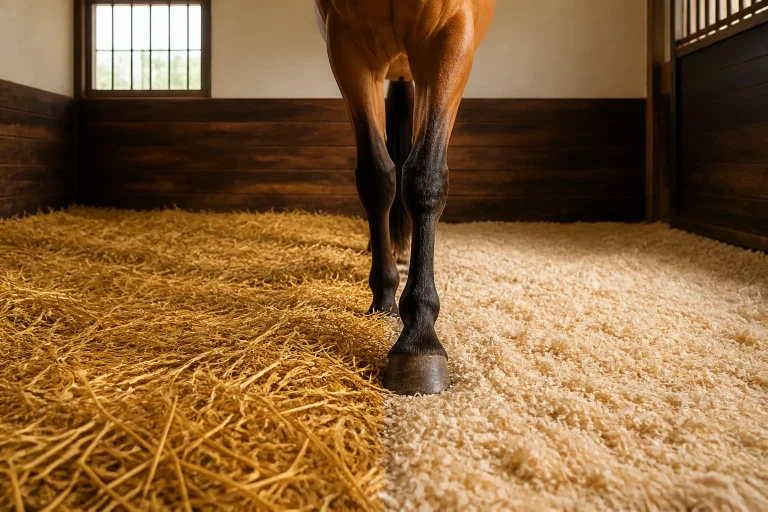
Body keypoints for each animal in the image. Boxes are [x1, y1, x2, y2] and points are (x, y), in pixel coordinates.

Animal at [315, 0, 495, 395]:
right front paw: (385, 293)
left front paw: (419, 338)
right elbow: (378, 177)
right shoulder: (349, 48)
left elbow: (424, 176)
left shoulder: (449, 39)